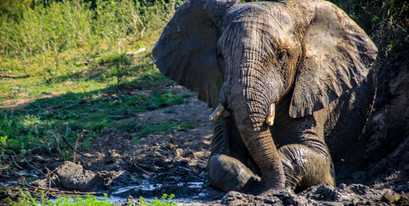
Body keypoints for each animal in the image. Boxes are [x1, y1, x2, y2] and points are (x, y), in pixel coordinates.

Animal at [152, 0, 376, 194]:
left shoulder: (312, 94)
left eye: (282, 55)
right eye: (220, 56)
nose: (263, 184)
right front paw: (250, 179)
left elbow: (321, 160)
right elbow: (219, 157)